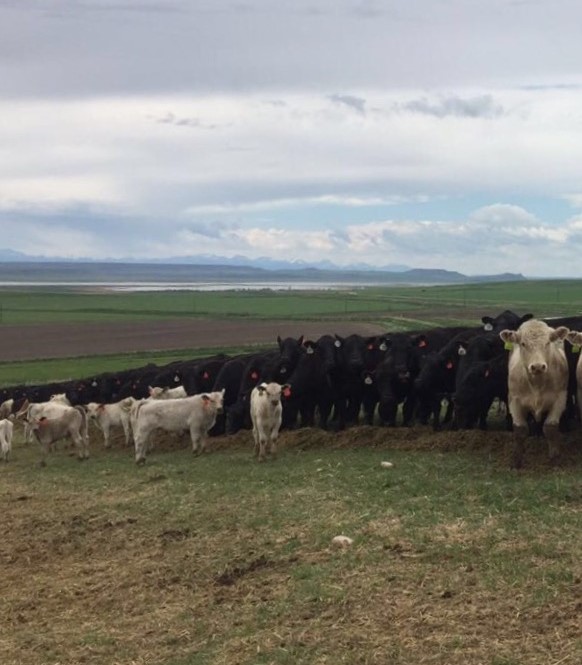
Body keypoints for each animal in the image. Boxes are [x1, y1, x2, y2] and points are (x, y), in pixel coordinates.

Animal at [499, 319, 570, 468]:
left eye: (548, 342)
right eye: (523, 344)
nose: (537, 367)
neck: (537, 384)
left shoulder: (560, 399)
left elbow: (550, 428)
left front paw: (554, 458)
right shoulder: (514, 400)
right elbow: (520, 430)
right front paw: (517, 461)